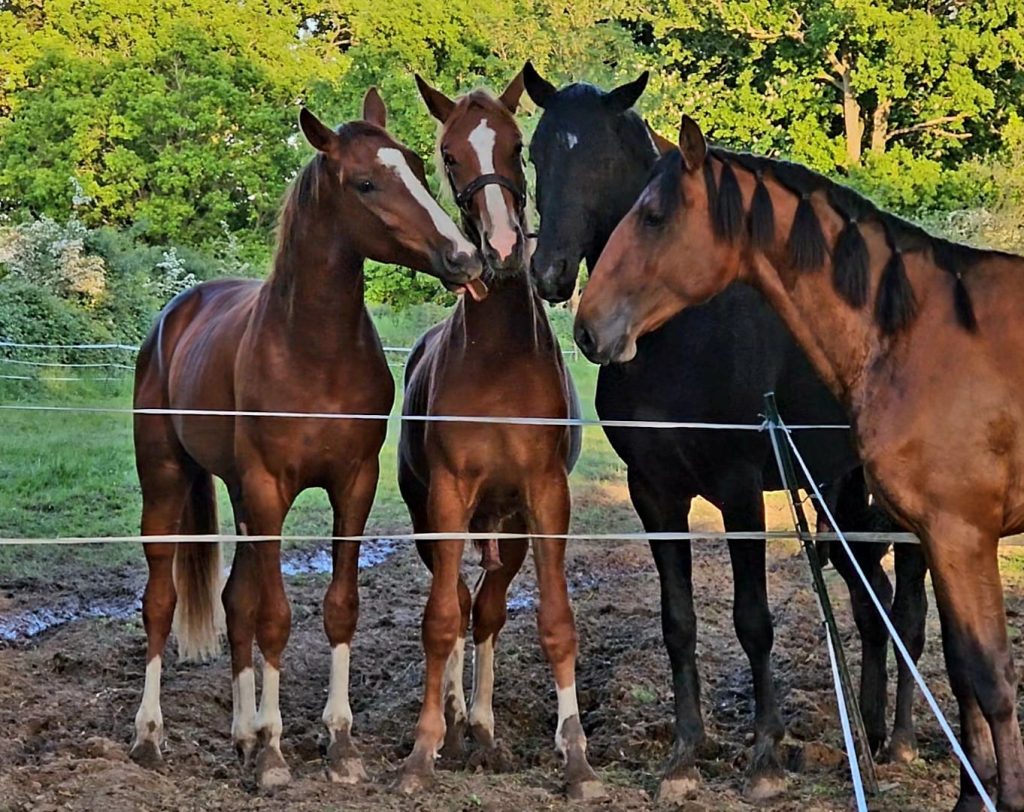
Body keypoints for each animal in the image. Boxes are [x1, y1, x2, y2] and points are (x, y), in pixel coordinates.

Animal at [128, 91, 479, 790]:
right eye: (365, 183)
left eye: (418, 166)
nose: (463, 257)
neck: (313, 353)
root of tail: (175, 315)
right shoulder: (269, 488)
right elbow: (276, 617)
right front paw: (273, 751)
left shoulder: (352, 485)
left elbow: (336, 606)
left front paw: (338, 744)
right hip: (166, 480)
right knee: (161, 601)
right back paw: (150, 735)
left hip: (237, 495)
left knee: (234, 601)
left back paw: (239, 733)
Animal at [391, 74, 598, 798]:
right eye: (450, 155)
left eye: (514, 146)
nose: (505, 248)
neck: (499, 362)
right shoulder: (448, 499)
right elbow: (438, 621)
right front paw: (423, 749)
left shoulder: (544, 498)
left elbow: (553, 621)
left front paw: (577, 757)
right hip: (436, 523)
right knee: (458, 605)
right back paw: (455, 720)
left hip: (505, 529)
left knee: (486, 609)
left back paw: (480, 726)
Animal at [524, 61, 933, 798]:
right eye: (538, 153)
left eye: (602, 159)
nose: (550, 274)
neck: (678, 330)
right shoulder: (654, 492)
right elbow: (678, 622)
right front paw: (685, 754)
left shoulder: (741, 490)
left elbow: (753, 621)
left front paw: (765, 756)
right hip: (840, 494)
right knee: (872, 603)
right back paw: (866, 730)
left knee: (907, 613)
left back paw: (902, 743)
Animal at [577, 114, 1024, 810]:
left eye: (652, 216)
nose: (589, 326)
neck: (922, 338)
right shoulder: (940, 538)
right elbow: (962, 668)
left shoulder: (961, 536)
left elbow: (991, 678)